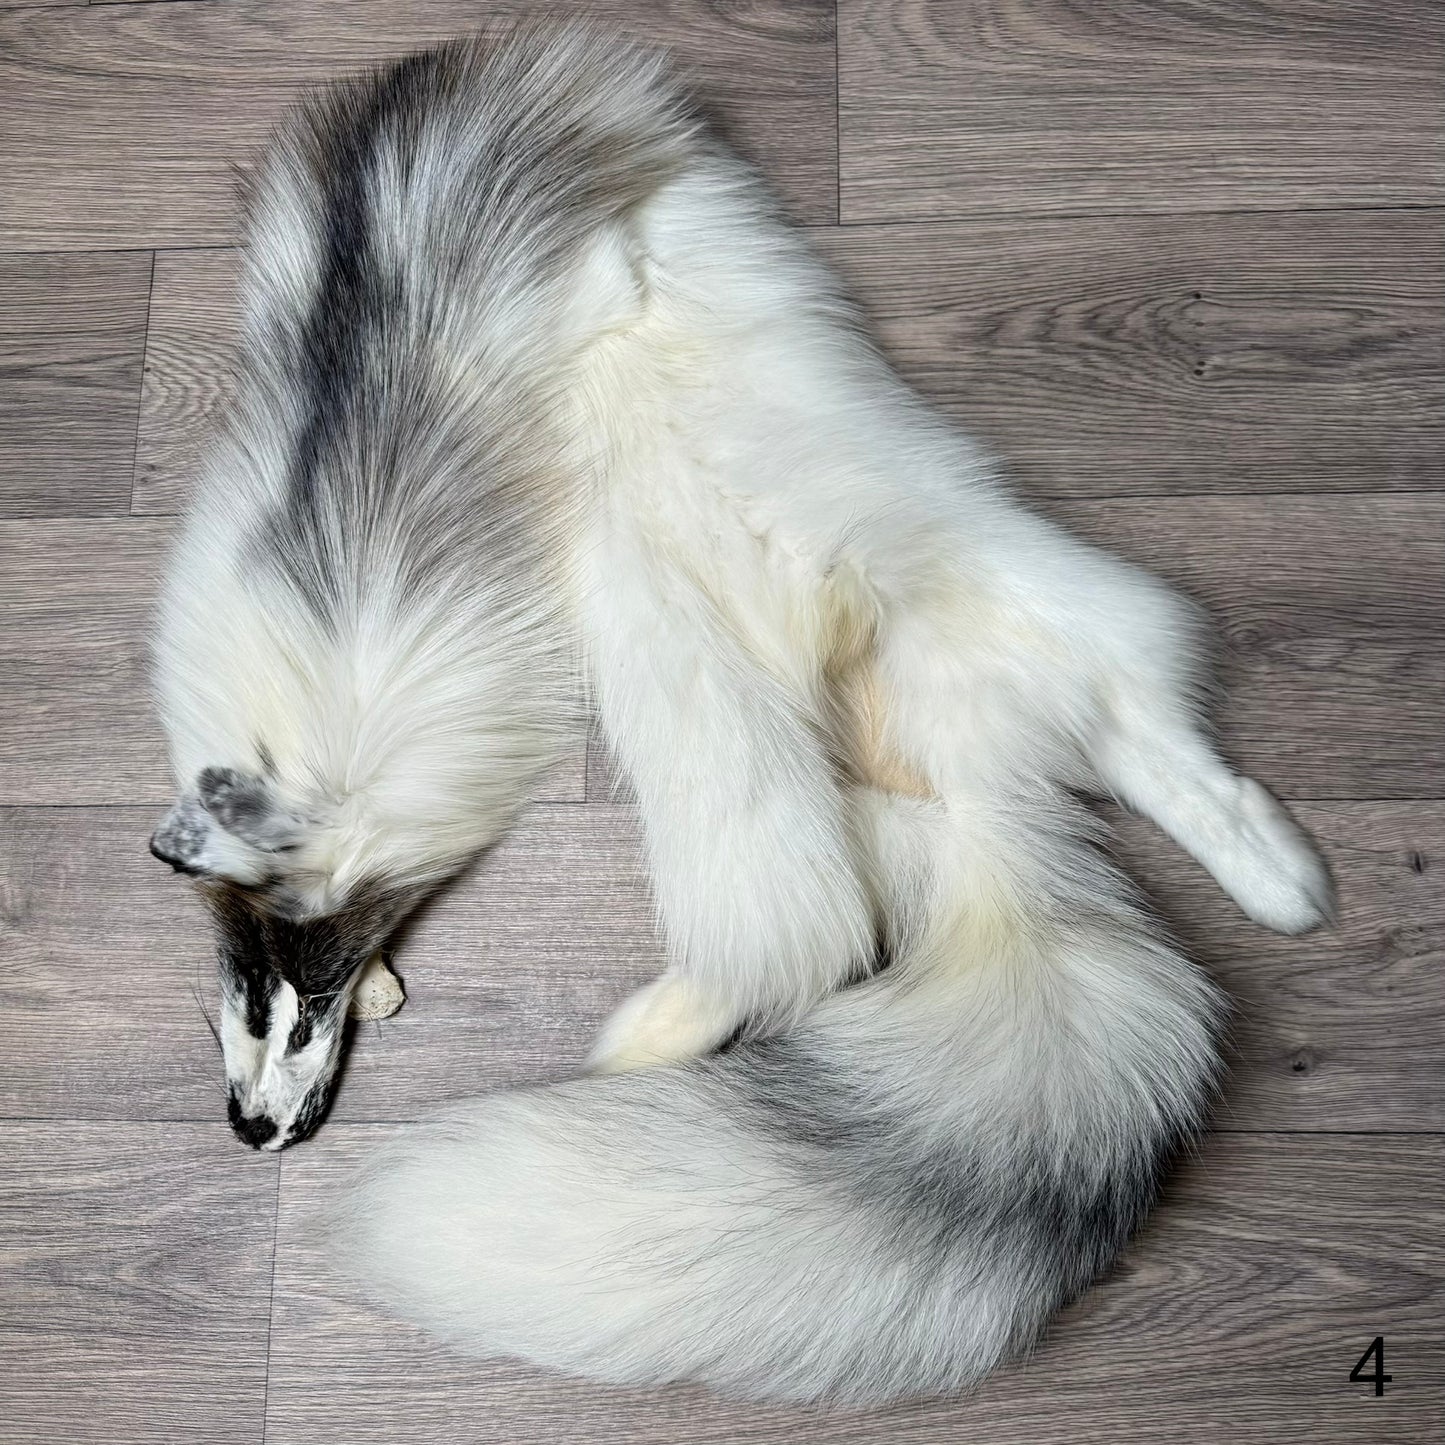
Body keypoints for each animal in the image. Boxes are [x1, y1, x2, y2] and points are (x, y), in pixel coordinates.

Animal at [148, 28, 1332, 1402]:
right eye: (248, 985)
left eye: (288, 995)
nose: (250, 1129)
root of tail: (958, 775)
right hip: (726, 703)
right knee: (1019, 824)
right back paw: (1277, 879)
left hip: (924, 628)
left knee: (848, 913)